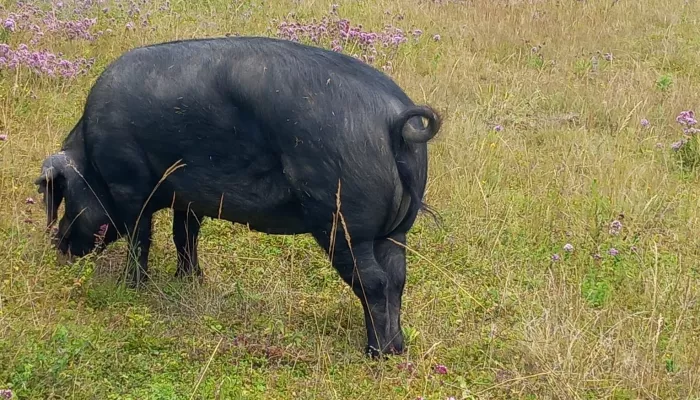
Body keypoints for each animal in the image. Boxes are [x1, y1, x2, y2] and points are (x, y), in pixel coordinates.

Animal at [34, 36, 442, 357]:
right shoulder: (188, 198)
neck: (92, 160)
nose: (59, 245)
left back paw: (376, 352)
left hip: (342, 223)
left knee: (374, 282)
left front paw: (131, 287)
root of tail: (395, 121)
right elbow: (185, 236)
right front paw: (190, 280)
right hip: (396, 230)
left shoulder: (128, 186)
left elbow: (141, 238)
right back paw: (397, 348)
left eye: (65, 197)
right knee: (398, 277)